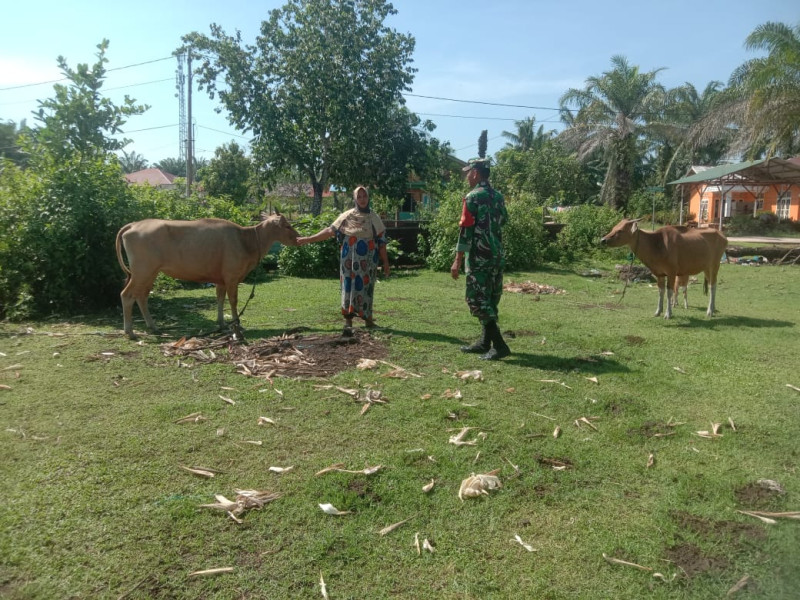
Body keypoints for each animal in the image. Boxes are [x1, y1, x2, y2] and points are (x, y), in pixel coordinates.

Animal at [119, 214, 304, 338]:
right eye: (287, 226)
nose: (299, 237)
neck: (245, 240)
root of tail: (134, 225)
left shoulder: (220, 280)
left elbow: (220, 299)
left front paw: (222, 323)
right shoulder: (232, 277)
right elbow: (233, 301)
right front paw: (236, 326)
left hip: (150, 273)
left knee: (142, 296)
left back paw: (153, 326)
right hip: (142, 271)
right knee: (127, 295)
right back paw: (130, 331)